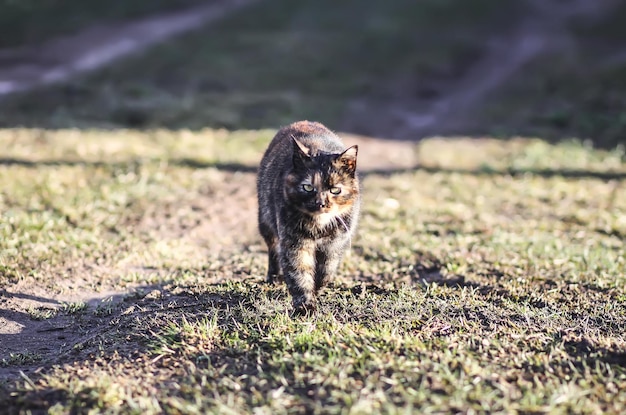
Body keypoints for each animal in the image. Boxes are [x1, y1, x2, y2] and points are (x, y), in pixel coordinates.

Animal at [255, 121, 360, 316]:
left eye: (335, 190)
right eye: (308, 187)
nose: (321, 203)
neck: (319, 226)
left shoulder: (334, 245)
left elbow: (325, 271)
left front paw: (316, 289)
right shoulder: (294, 244)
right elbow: (299, 273)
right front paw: (305, 306)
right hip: (265, 221)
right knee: (273, 249)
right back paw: (274, 277)